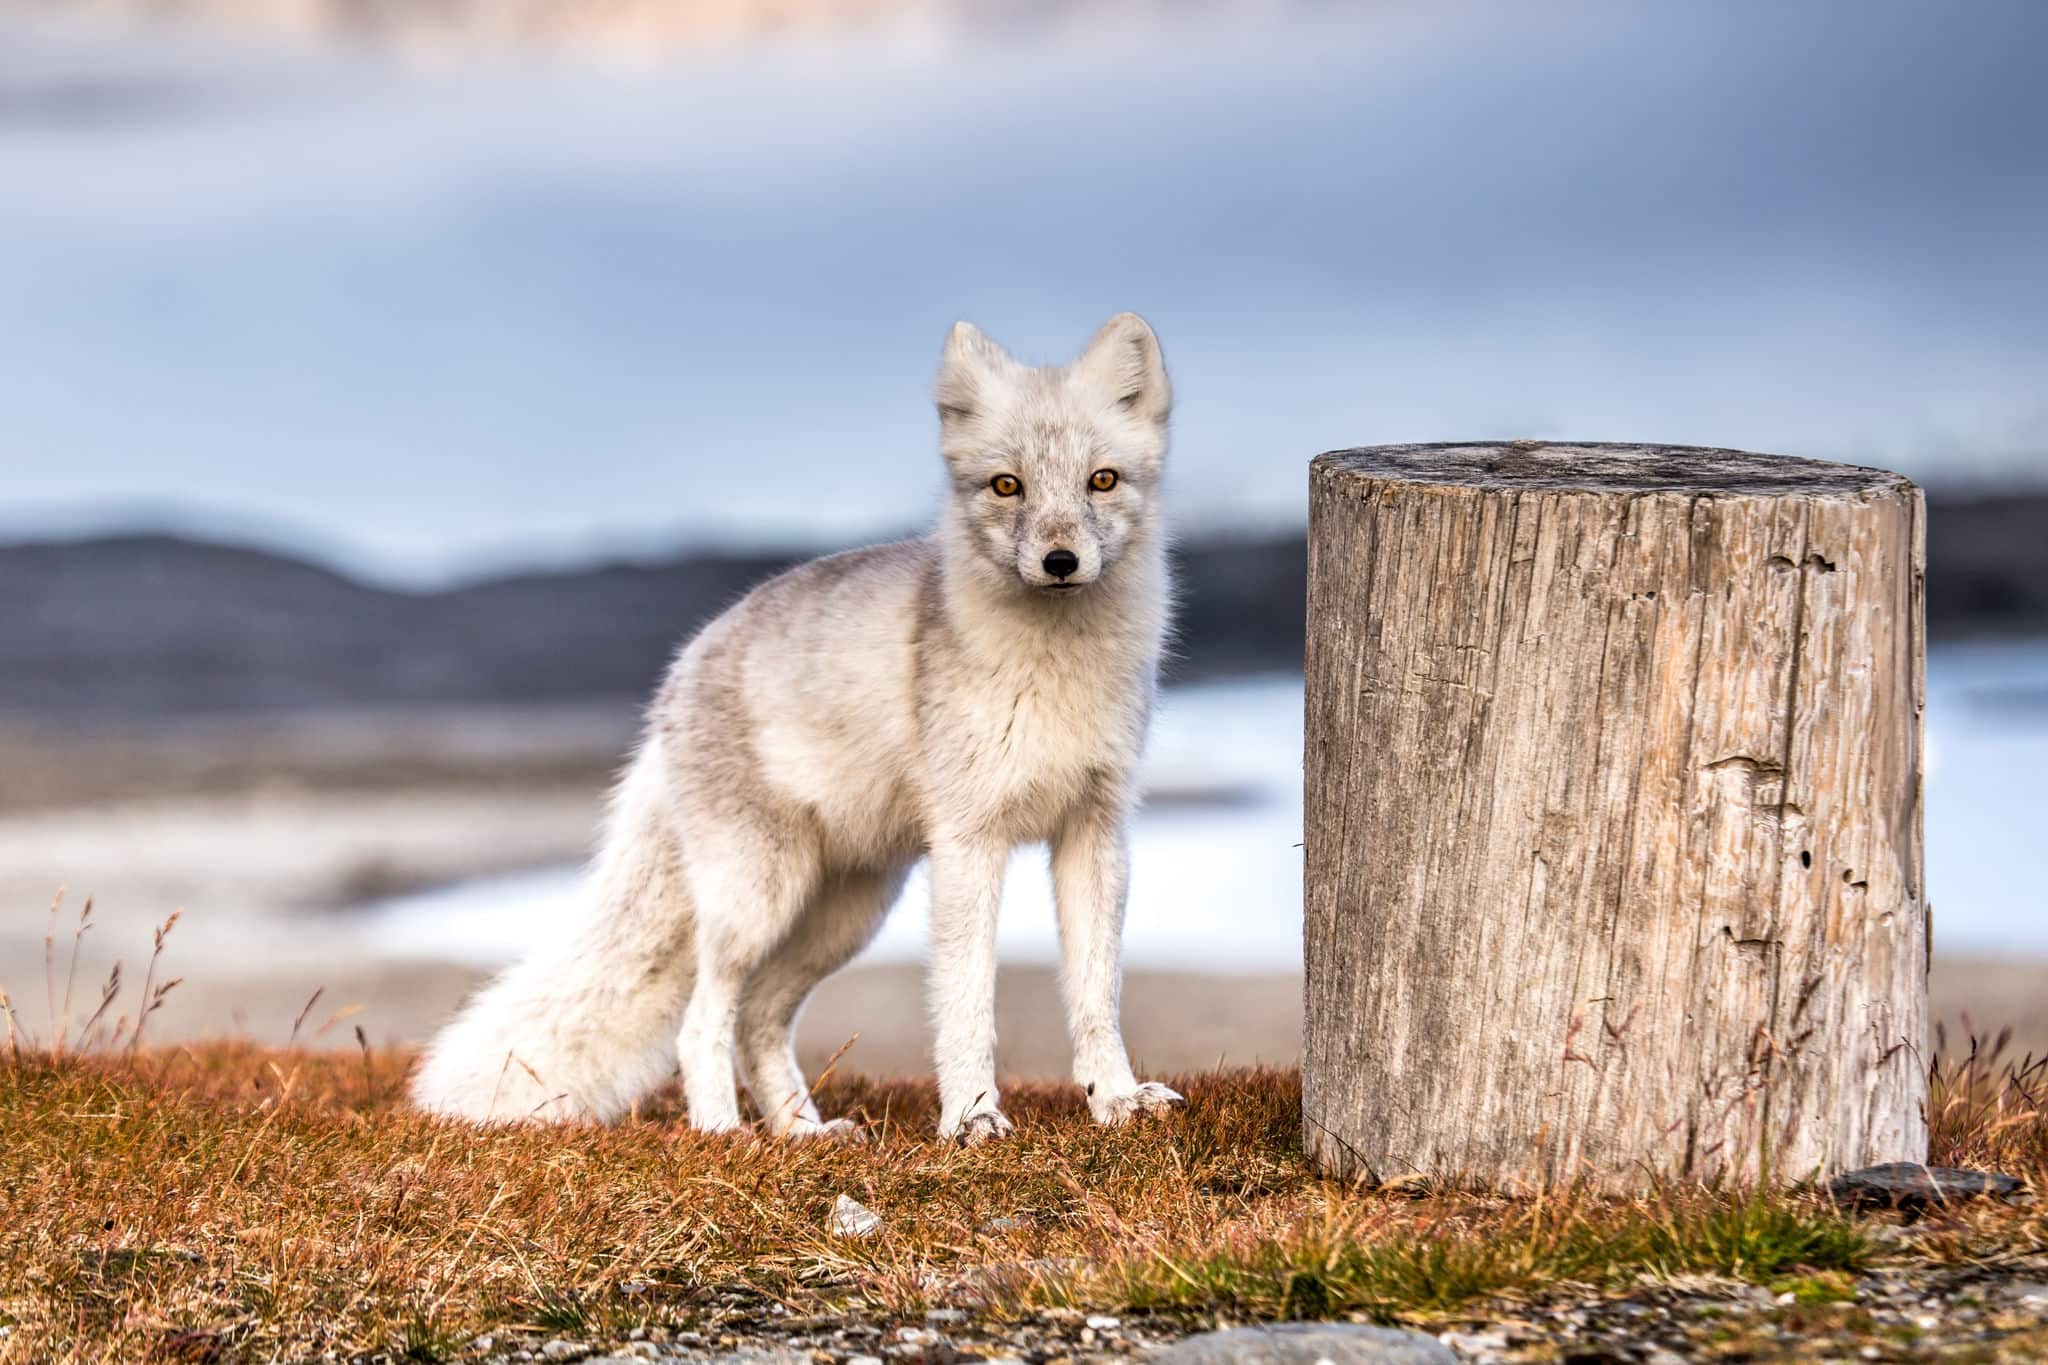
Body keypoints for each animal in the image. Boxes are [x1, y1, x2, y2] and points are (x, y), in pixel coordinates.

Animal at [410, 312, 1185, 1144]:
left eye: (1102, 480)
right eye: (1007, 485)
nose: (1061, 560)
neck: (1058, 673)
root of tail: (679, 672)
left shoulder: (1094, 830)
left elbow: (1097, 993)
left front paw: (1116, 1098)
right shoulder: (971, 840)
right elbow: (967, 1001)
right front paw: (973, 1115)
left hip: (844, 914)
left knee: (757, 1018)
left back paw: (799, 1132)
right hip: (757, 901)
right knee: (704, 1021)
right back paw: (723, 1134)